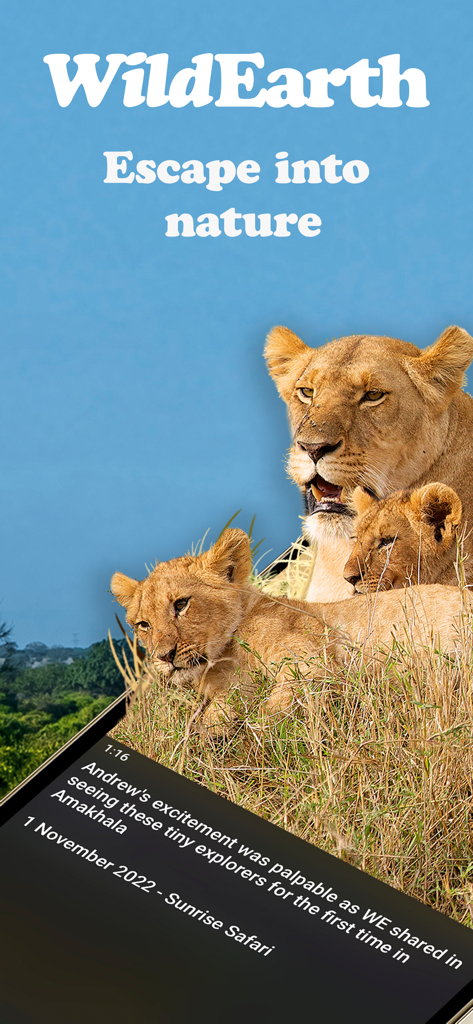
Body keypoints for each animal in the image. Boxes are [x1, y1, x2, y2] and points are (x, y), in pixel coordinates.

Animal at [111, 528, 470, 729]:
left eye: (181, 604)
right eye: (143, 625)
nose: (163, 656)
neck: (222, 658)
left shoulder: (313, 664)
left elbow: (269, 715)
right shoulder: (230, 690)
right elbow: (213, 718)